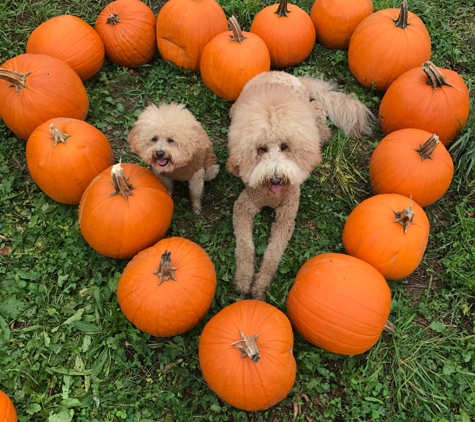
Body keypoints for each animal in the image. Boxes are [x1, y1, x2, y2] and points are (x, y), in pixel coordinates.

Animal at [229, 70, 374, 300]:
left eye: (285, 146)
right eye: (261, 148)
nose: (276, 177)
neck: (272, 194)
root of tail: (282, 73)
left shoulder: (286, 216)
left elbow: (273, 253)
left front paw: (261, 285)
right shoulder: (244, 207)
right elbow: (245, 246)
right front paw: (243, 280)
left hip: (306, 109)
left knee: (317, 107)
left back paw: (324, 135)